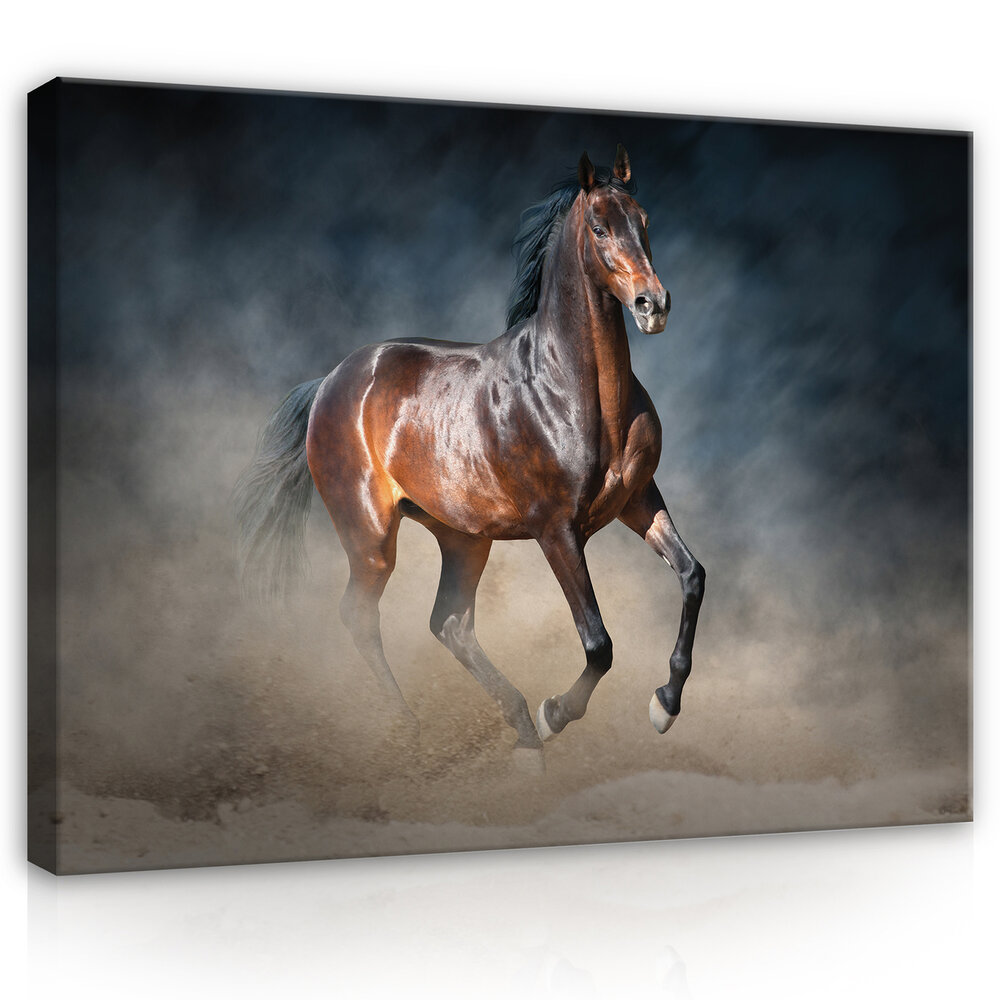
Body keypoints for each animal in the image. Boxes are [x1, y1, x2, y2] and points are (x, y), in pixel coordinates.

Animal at [234, 145, 705, 754]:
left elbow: (692, 577)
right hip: (371, 537)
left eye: (644, 220)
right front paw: (557, 712)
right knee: (361, 616)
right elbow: (598, 643)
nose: (654, 305)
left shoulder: (639, 500)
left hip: (463, 538)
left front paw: (664, 706)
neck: (573, 390)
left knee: (450, 623)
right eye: (600, 227)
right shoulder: (556, 529)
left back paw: (521, 731)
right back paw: (417, 728)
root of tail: (331, 382)